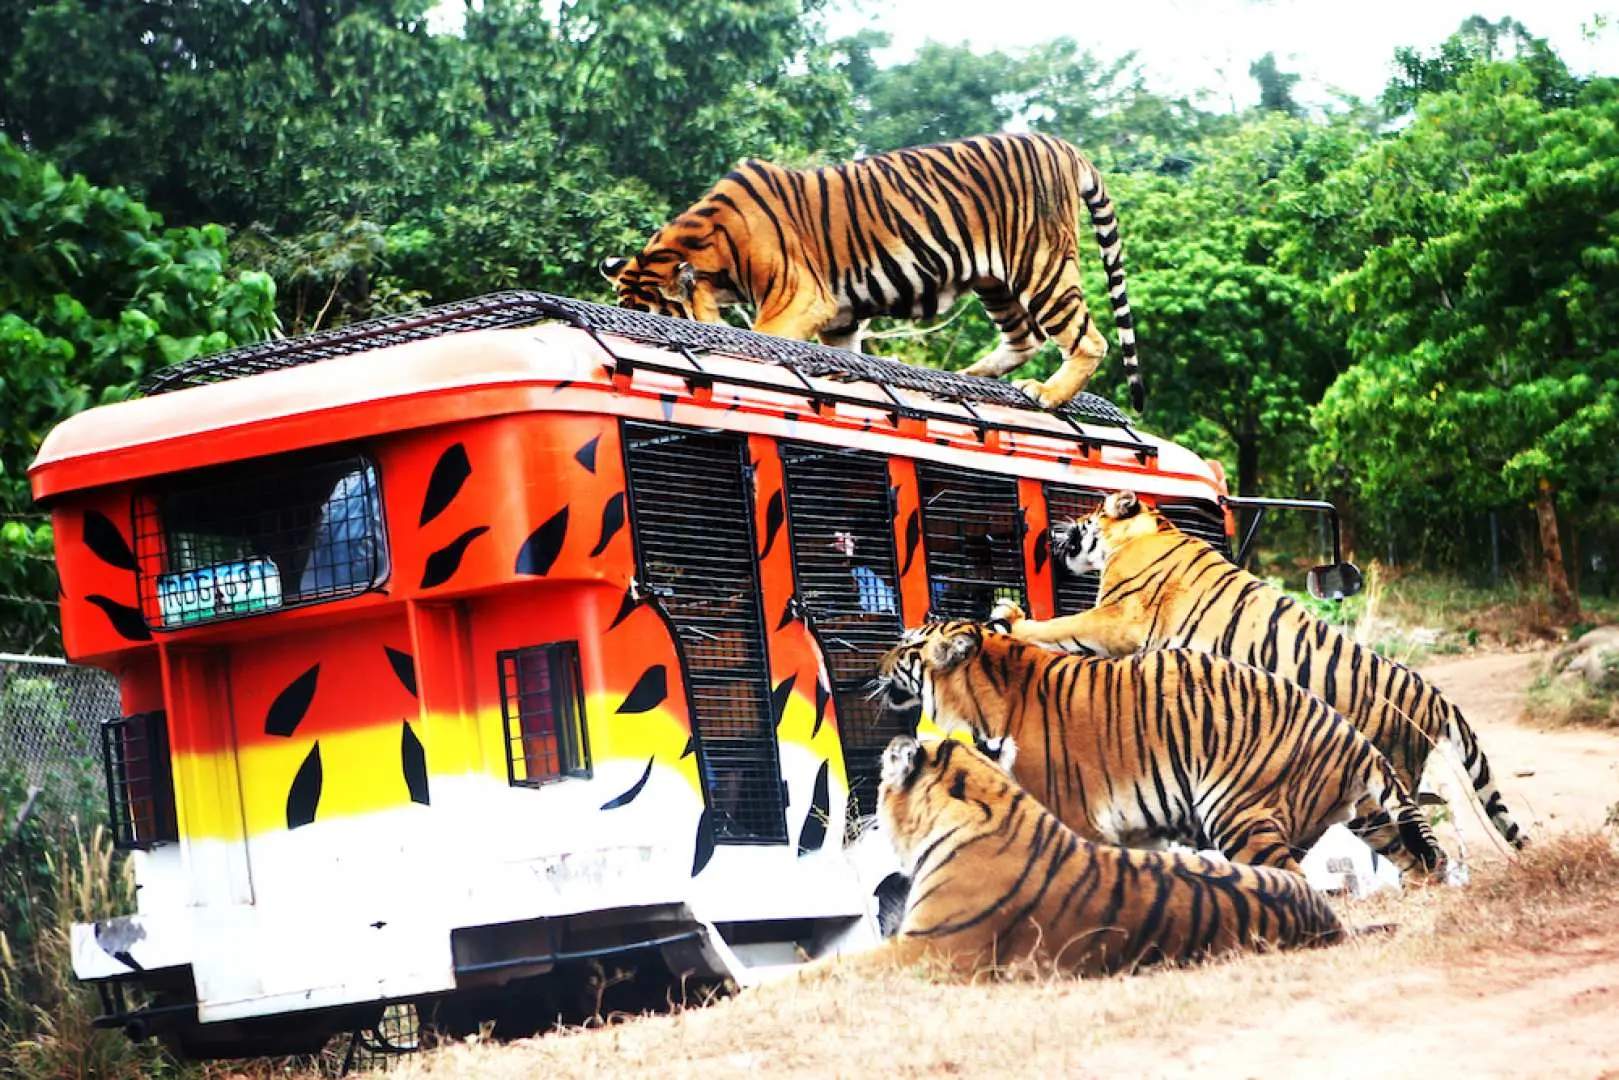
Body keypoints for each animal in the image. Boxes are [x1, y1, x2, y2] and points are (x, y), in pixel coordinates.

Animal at [598, 132, 1144, 411]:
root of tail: (1063, 145)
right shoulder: (840, 318)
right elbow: (846, 359)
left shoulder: (801, 298)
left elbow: (764, 339)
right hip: (995, 278)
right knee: (1024, 337)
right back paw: (962, 378)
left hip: (1039, 261)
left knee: (1087, 339)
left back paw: (1047, 393)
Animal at [874, 620, 1450, 883]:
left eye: (907, 646)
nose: (875, 664)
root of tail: (1348, 732)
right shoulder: (1134, 827)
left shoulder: (1071, 815)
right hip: (1370, 817)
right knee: (1423, 860)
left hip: (1238, 812)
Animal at [993, 490, 1530, 851]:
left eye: (1085, 516)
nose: (1052, 530)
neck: (1150, 529)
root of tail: (1433, 693)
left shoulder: (1117, 617)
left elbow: (1060, 627)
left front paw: (1013, 620)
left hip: (1377, 779)